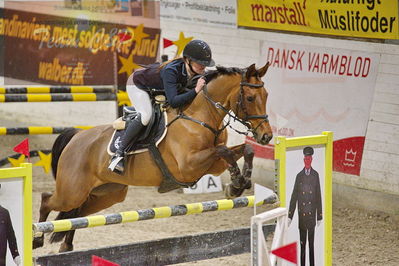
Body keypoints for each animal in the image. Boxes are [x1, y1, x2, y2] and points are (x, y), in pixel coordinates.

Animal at [33, 61, 276, 252]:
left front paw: (239, 183)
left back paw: (66, 246)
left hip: (107, 193)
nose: (266, 136)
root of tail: (76, 137)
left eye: (266, 96)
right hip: (72, 191)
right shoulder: (189, 165)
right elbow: (225, 152)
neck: (200, 115)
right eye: (250, 98)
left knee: (79, 213)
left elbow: (244, 151)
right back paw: (37, 239)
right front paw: (236, 183)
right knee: (47, 200)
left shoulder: (212, 165)